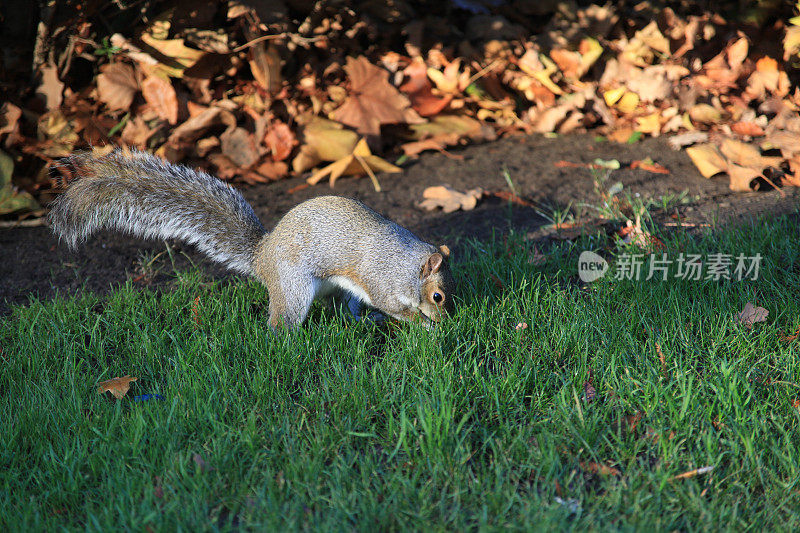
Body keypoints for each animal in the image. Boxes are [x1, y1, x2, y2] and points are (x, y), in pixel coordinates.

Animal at [47, 148, 454, 326]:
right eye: (438, 295)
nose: (448, 318)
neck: (406, 263)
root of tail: (263, 255)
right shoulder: (382, 281)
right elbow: (392, 306)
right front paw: (425, 324)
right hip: (293, 287)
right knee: (281, 322)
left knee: (350, 305)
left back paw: (362, 320)